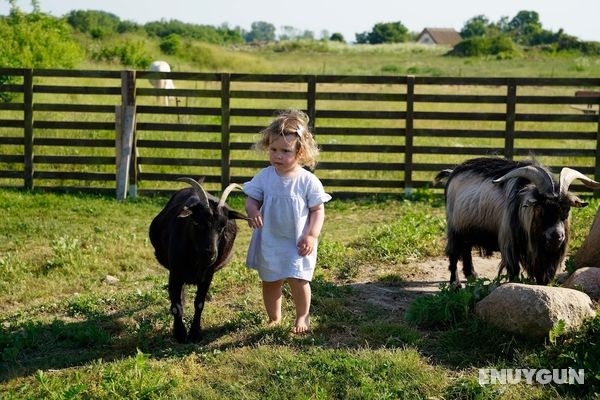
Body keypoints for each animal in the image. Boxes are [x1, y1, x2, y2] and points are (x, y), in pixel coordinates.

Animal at [149, 178, 247, 344]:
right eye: (197, 223)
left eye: (222, 226)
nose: (210, 254)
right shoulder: (175, 273)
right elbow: (176, 306)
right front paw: (180, 334)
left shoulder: (208, 275)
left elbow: (199, 303)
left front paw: (195, 334)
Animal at [436, 158, 600, 286]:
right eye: (541, 210)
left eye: (566, 210)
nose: (557, 236)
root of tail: (452, 173)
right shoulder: (509, 244)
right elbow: (514, 270)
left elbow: (543, 273)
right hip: (454, 228)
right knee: (453, 254)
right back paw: (455, 284)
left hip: (467, 228)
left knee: (466, 249)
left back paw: (472, 275)